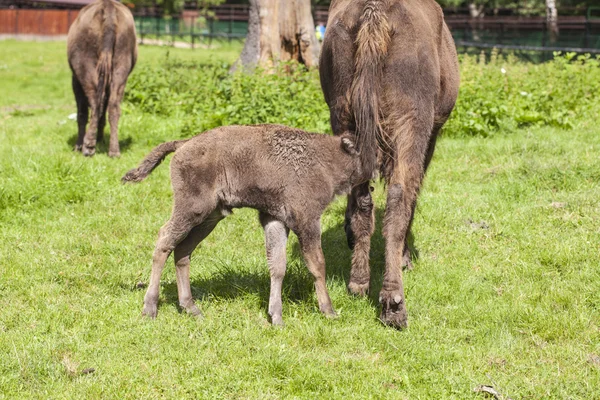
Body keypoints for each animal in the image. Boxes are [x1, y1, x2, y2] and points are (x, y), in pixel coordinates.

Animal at [67, 0, 137, 158]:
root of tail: (108, 6)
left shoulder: (75, 81)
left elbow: (82, 112)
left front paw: (79, 145)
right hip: (120, 69)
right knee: (113, 106)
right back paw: (114, 150)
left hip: (85, 68)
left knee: (94, 103)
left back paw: (88, 146)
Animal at [124, 125, 370, 324]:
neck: (325, 158)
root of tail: (184, 144)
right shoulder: (307, 220)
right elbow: (317, 264)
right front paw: (329, 311)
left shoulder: (275, 219)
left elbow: (277, 265)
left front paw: (276, 317)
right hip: (192, 209)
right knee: (164, 240)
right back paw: (150, 308)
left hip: (209, 218)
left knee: (182, 251)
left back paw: (192, 308)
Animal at [318, 0, 460, 328]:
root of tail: (375, 11)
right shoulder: (430, 134)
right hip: (411, 124)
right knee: (398, 198)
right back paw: (394, 304)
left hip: (345, 118)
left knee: (362, 199)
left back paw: (358, 282)